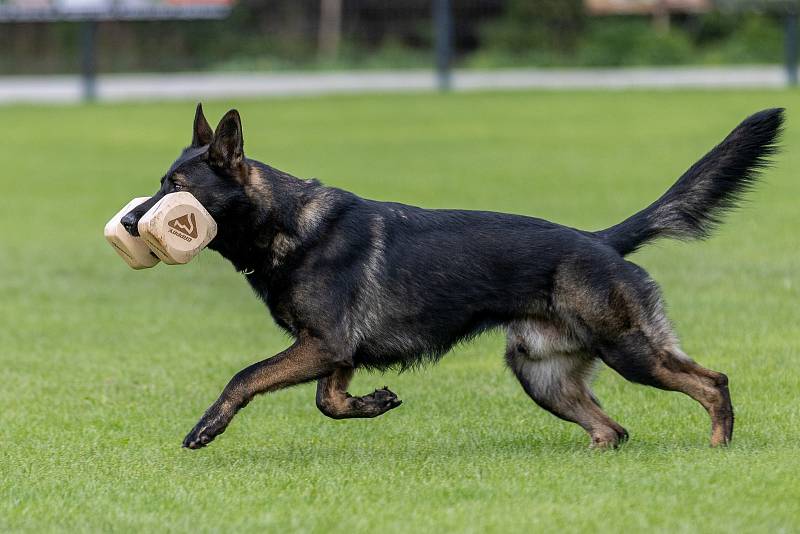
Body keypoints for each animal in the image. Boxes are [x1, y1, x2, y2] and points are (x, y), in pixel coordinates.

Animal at [122, 102, 784, 450]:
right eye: (160, 184)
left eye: (176, 188)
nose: (128, 222)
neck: (287, 223)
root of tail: (599, 240)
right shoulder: (333, 353)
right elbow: (329, 402)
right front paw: (374, 402)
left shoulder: (322, 345)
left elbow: (246, 377)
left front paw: (207, 426)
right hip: (542, 375)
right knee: (614, 429)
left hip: (630, 351)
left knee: (712, 382)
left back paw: (718, 447)